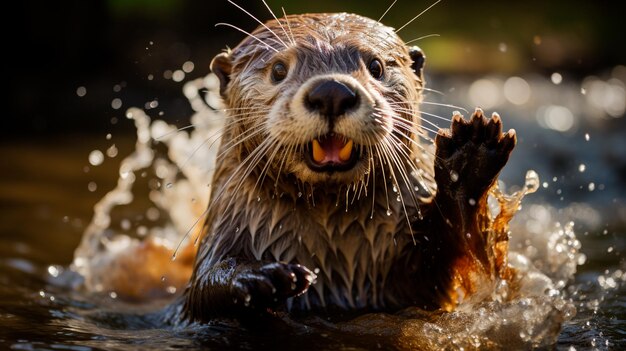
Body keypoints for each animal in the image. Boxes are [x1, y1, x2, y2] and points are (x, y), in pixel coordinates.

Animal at [178, 12, 516, 324]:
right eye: (278, 70)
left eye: (377, 66)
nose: (331, 91)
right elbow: (202, 290)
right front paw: (260, 278)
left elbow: (459, 264)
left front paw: (469, 160)